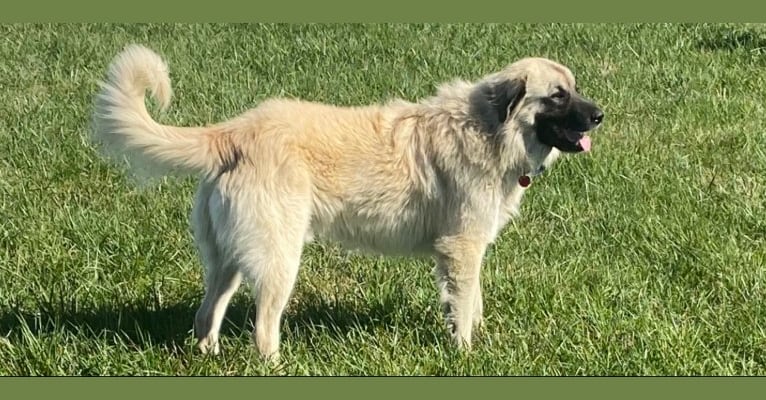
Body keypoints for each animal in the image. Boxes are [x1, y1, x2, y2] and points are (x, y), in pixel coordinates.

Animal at [90, 44, 608, 362]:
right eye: (557, 96)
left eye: (575, 89)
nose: (600, 115)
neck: (489, 127)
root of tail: (234, 132)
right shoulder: (461, 248)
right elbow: (463, 305)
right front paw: (464, 352)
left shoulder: (467, 248)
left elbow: (472, 302)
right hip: (280, 258)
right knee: (263, 327)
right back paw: (274, 365)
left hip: (228, 259)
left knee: (206, 315)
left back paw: (209, 357)